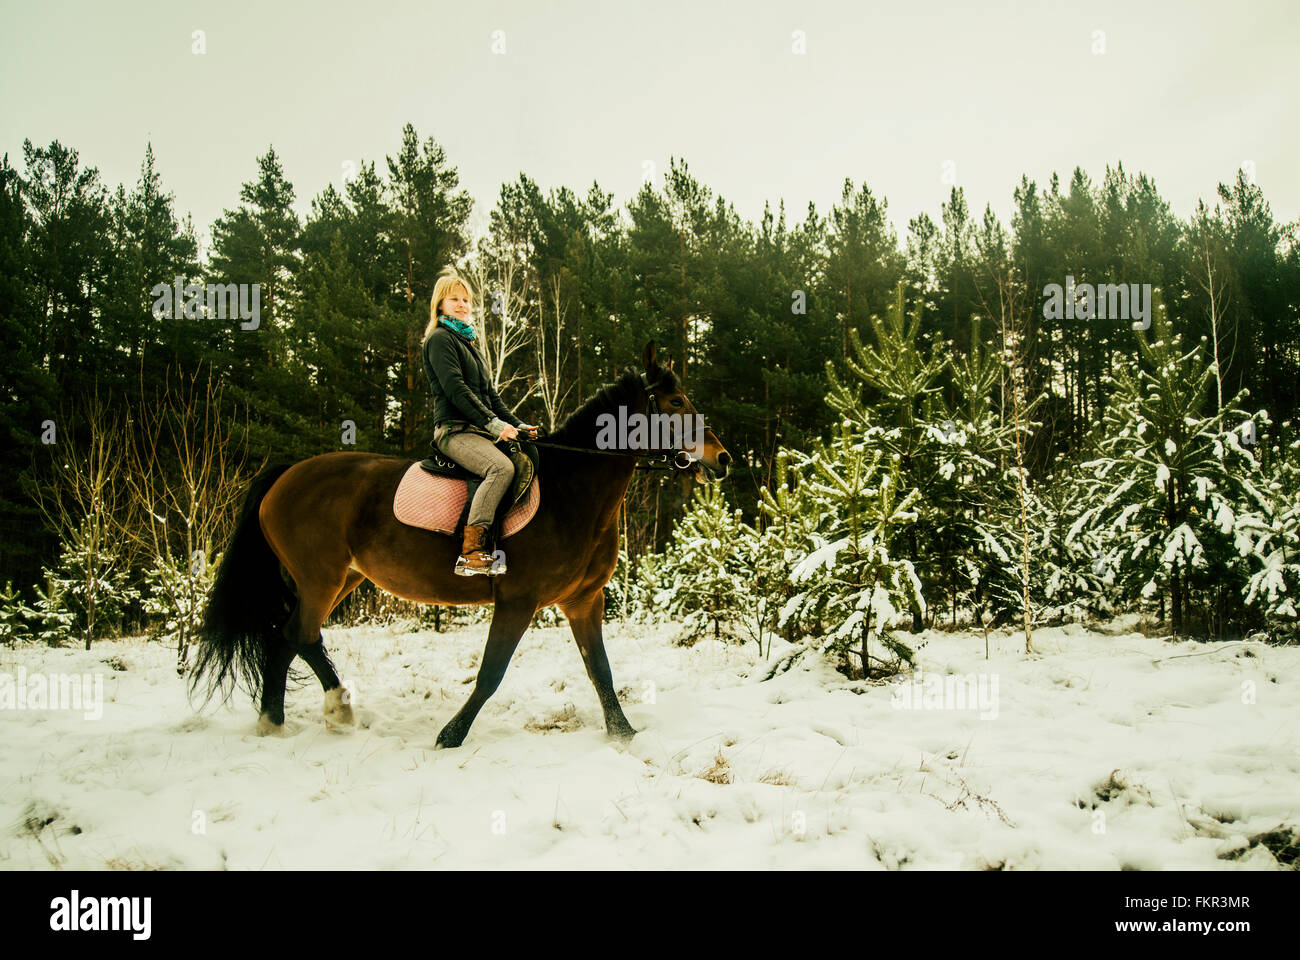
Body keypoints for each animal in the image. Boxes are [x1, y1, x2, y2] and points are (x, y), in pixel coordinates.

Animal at [188, 340, 733, 744]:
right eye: (677, 403)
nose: (722, 459)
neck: (572, 491)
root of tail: (285, 475)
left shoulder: (584, 600)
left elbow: (600, 669)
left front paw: (623, 734)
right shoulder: (517, 601)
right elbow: (491, 673)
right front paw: (451, 735)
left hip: (341, 579)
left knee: (288, 638)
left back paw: (282, 721)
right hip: (321, 578)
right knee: (299, 635)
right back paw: (324, 713)